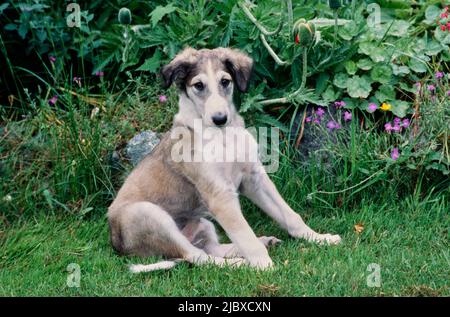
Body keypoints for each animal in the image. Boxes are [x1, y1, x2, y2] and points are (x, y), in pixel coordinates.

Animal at [107, 47, 340, 272]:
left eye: (225, 81)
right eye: (198, 85)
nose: (220, 119)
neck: (223, 136)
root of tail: (117, 246)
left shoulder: (254, 179)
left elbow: (290, 215)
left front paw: (318, 238)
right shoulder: (220, 195)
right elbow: (244, 234)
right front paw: (264, 266)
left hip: (202, 223)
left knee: (209, 248)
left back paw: (263, 242)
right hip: (148, 215)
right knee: (197, 257)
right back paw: (242, 264)